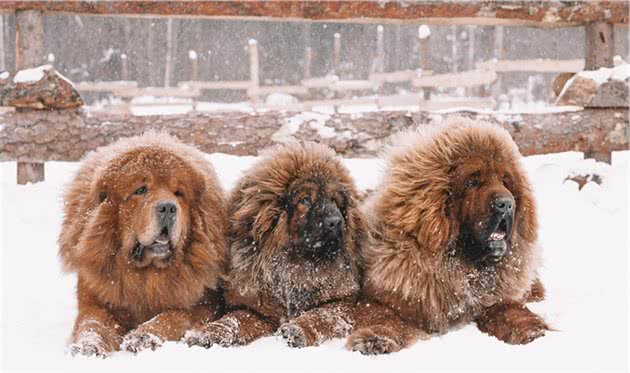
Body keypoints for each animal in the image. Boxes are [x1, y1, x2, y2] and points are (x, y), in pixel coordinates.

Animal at [185, 141, 368, 348]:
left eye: (335, 201)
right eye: (305, 200)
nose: (336, 222)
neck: (296, 266)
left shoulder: (342, 302)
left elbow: (318, 316)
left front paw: (295, 330)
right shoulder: (257, 310)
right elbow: (232, 321)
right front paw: (208, 334)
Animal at [348, 117, 552, 354]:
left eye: (505, 182)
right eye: (473, 182)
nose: (506, 204)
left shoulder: (495, 299)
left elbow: (511, 310)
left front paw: (533, 331)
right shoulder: (379, 294)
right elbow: (379, 313)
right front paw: (375, 339)